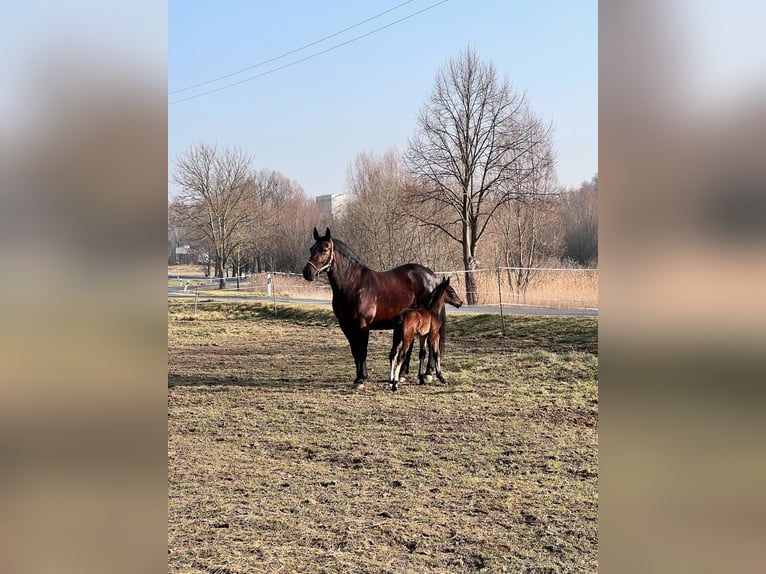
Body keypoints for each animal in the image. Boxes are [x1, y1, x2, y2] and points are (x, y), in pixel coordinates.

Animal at [303, 227, 453, 389]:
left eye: (325, 249)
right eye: (311, 249)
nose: (307, 273)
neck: (354, 285)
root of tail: (432, 277)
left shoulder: (362, 325)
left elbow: (362, 351)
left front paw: (361, 379)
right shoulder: (346, 326)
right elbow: (355, 351)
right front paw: (358, 377)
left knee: (431, 345)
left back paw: (427, 374)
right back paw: (402, 375)